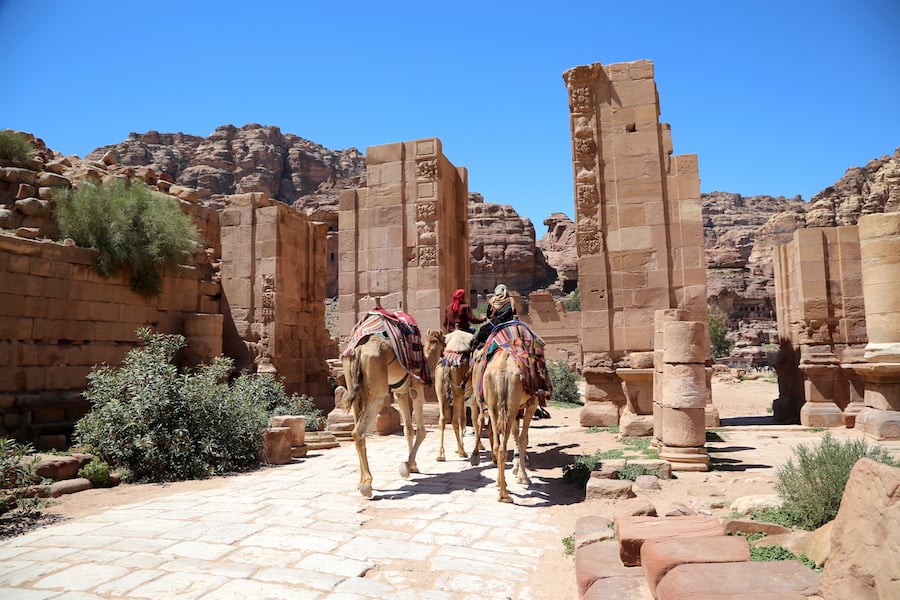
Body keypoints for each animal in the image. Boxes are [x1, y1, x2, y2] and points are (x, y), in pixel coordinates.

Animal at [340, 310, 442, 496]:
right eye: (439, 340)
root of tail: (358, 350)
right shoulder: (416, 388)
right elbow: (421, 431)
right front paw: (406, 467)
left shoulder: (400, 392)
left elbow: (408, 429)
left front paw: (413, 466)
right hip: (378, 392)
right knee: (358, 431)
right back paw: (367, 485)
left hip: (353, 386)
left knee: (359, 429)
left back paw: (361, 482)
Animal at [432, 328, 488, 464]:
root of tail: (448, 363)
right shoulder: (472, 400)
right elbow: (473, 419)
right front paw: (478, 446)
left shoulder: (467, 400)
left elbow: (465, 419)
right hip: (458, 392)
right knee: (453, 421)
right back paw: (462, 452)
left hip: (441, 390)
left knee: (442, 419)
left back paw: (441, 455)